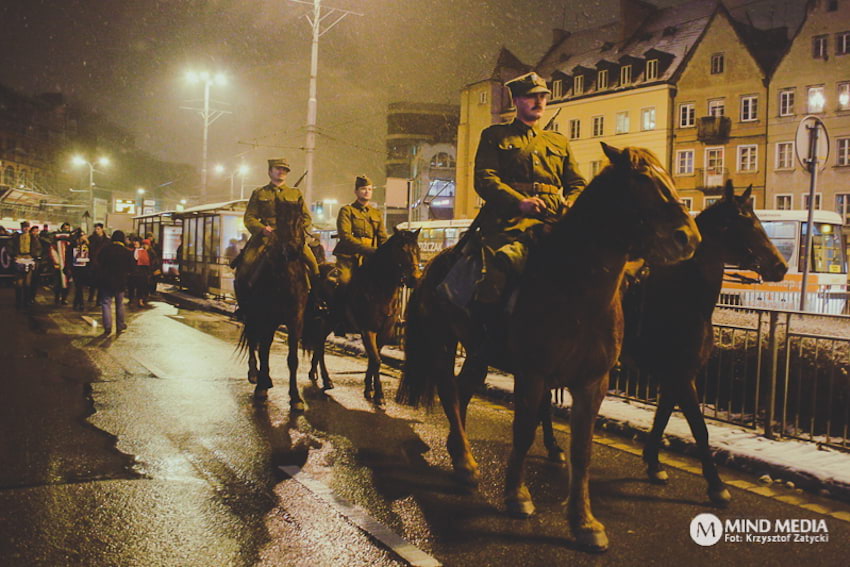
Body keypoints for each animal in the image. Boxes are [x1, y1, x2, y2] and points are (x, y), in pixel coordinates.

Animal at [234, 200, 310, 408]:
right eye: (280, 220)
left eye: (300, 220)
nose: (292, 249)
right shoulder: (266, 318)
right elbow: (264, 350)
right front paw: (261, 386)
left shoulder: (296, 320)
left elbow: (292, 358)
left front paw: (295, 397)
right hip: (251, 314)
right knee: (254, 340)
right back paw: (255, 374)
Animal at [304, 229, 424, 406]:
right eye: (401, 250)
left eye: (418, 249)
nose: (415, 278)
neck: (380, 289)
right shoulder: (368, 330)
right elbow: (376, 360)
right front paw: (379, 395)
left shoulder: (384, 332)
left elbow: (374, 359)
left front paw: (369, 388)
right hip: (324, 319)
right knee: (319, 345)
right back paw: (326, 379)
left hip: (330, 321)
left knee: (318, 344)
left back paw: (315, 373)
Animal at [394, 143, 700, 556]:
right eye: (641, 181)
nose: (688, 238)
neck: (578, 290)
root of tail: (433, 267)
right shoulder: (533, 374)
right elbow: (524, 432)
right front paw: (517, 495)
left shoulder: (593, 382)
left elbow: (582, 451)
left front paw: (584, 523)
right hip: (443, 343)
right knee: (447, 388)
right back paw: (467, 461)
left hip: (478, 353)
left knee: (461, 390)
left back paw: (460, 456)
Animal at [616, 182, 788, 506]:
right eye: (744, 223)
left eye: (757, 219)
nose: (780, 267)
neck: (684, 296)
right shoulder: (680, 377)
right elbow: (699, 428)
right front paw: (716, 485)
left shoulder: (679, 376)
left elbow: (663, 417)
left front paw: (654, 463)